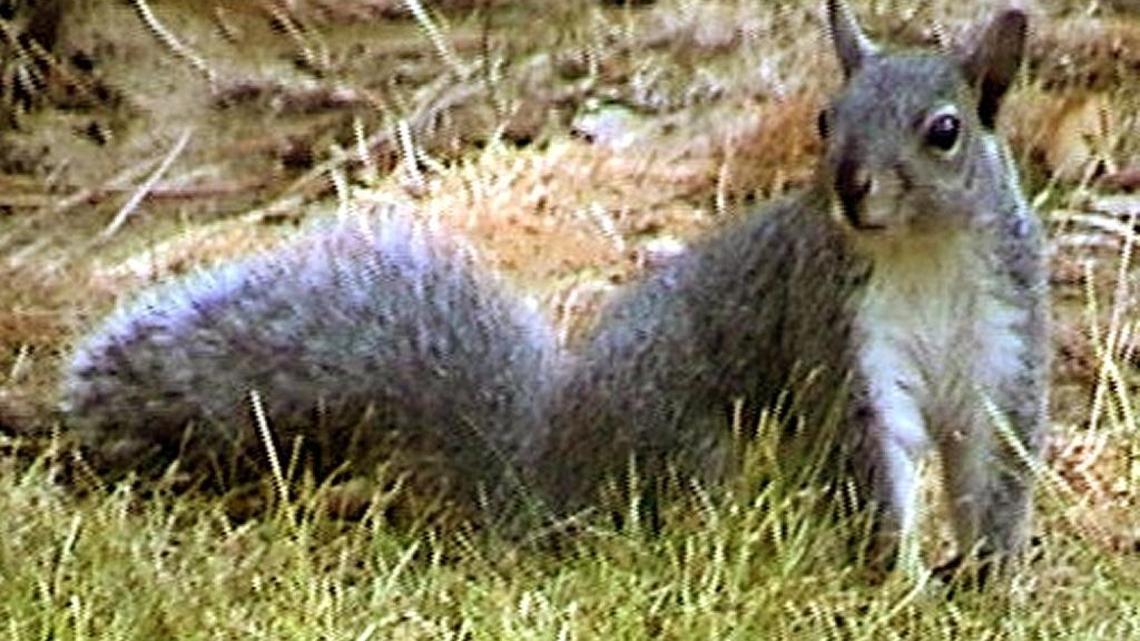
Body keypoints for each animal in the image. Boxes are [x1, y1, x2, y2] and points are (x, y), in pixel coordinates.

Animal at [60, 1, 1048, 572]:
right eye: (824, 118)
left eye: (946, 131)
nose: (848, 186)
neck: (922, 253)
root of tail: (549, 480)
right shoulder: (836, 334)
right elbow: (871, 460)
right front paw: (899, 586)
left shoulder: (1005, 338)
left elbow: (994, 463)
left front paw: (987, 581)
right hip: (690, 448)